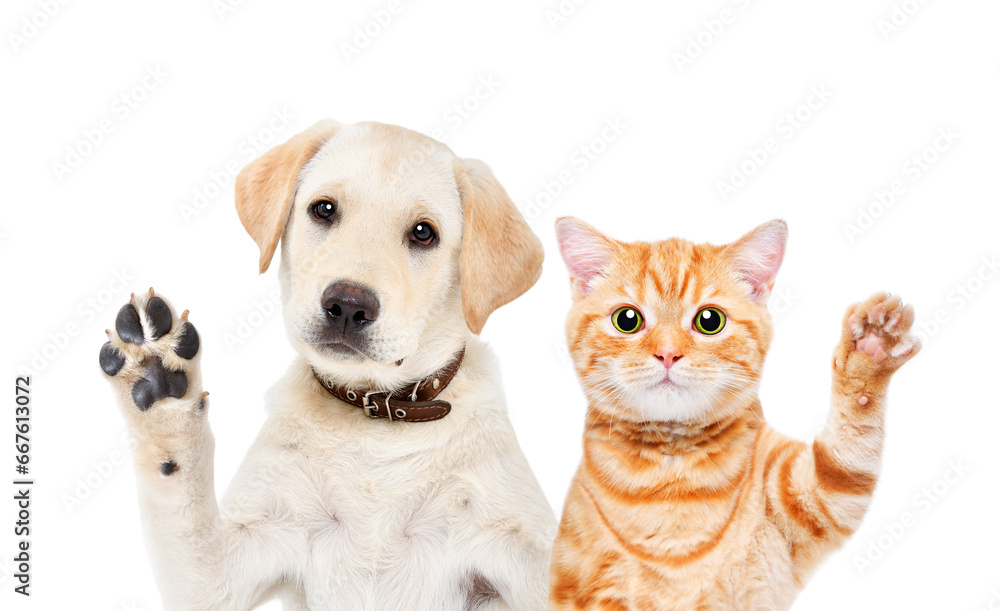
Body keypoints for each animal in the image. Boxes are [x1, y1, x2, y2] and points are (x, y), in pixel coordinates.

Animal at [96, 120, 556, 611]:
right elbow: (182, 500)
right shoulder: (216, 579)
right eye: (324, 209)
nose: (348, 306)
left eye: (423, 233)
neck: (376, 416)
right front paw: (160, 391)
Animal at [552, 220, 916, 611]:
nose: (667, 354)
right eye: (627, 320)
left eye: (709, 321)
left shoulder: (815, 494)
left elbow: (846, 453)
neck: (672, 475)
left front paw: (869, 350)